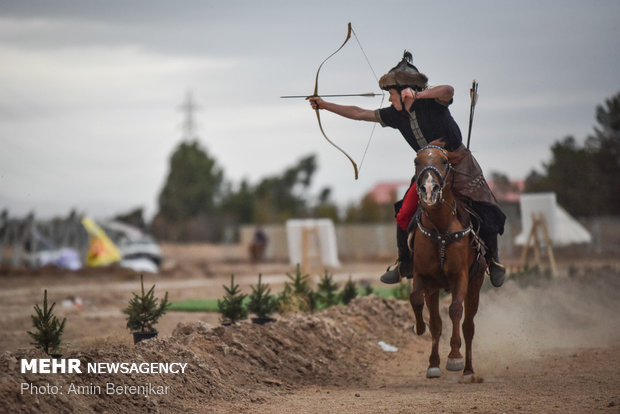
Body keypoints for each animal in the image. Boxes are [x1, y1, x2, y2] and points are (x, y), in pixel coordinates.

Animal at [410, 144, 486, 380]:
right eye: (417, 161)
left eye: (444, 161)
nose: (428, 189)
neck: (442, 229)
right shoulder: (424, 276)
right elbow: (416, 300)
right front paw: (419, 328)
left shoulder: (460, 276)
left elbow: (454, 310)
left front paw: (454, 357)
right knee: (437, 323)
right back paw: (434, 363)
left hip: (475, 284)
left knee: (468, 326)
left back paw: (468, 369)